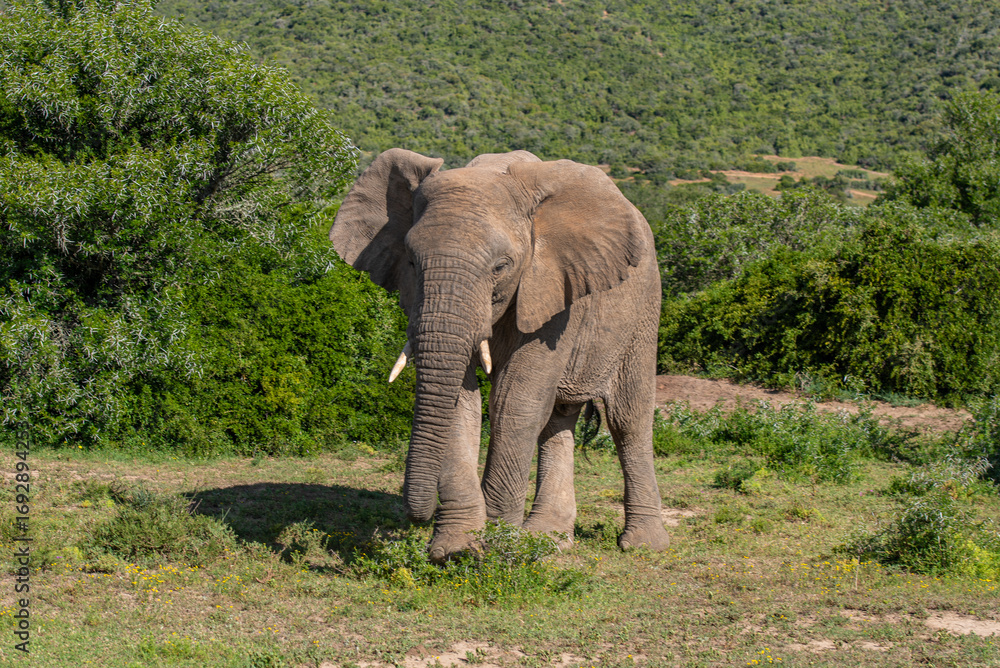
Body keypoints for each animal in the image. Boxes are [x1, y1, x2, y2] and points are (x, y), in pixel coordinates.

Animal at [329, 148, 670, 562]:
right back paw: (549, 538)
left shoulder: (552, 287)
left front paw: (495, 545)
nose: (416, 516)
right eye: (410, 260)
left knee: (628, 419)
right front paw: (456, 548)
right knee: (558, 420)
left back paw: (643, 545)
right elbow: (462, 400)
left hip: (644, 306)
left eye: (501, 267)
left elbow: (512, 401)